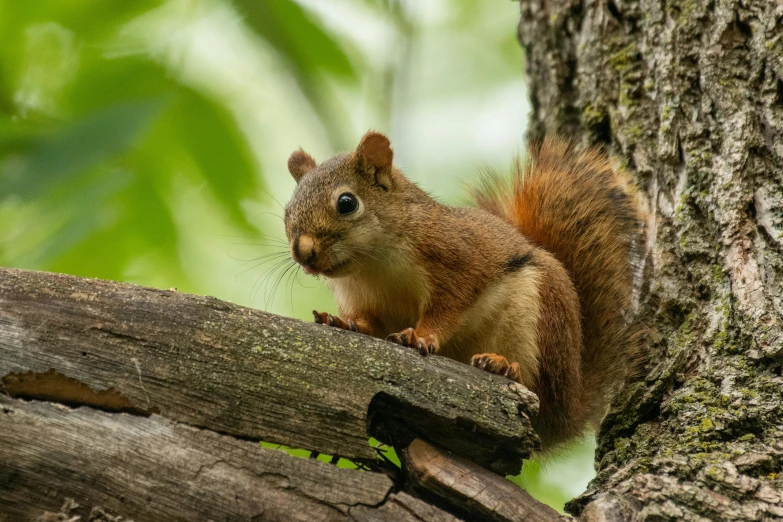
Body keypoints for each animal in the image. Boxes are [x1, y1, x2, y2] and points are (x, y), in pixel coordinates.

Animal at [284, 131, 640, 446]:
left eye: (346, 203)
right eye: (288, 210)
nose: (302, 252)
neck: (371, 266)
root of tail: (571, 409)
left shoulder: (458, 262)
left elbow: (447, 309)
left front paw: (421, 336)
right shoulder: (360, 298)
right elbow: (367, 322)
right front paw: (344, 323)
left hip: (539, 317)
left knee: (538, 390)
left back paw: (503, 366)